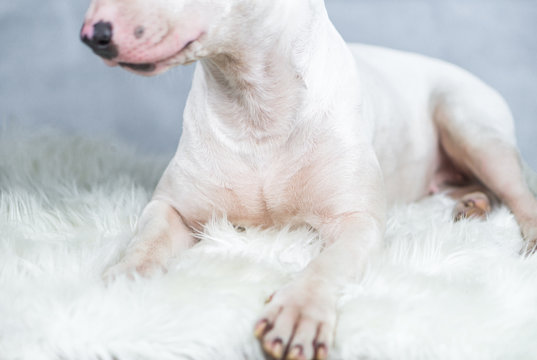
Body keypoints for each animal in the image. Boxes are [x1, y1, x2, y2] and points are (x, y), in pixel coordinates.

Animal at [81, 0, 536, 360]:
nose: (93, 35)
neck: (255, 103)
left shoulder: (357, 222)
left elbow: (328, 263)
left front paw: (298, 313)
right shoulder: (171, 206)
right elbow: (147, 240)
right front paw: (123, 282)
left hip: (468, 122)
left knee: (519, 192)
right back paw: (472, 203)